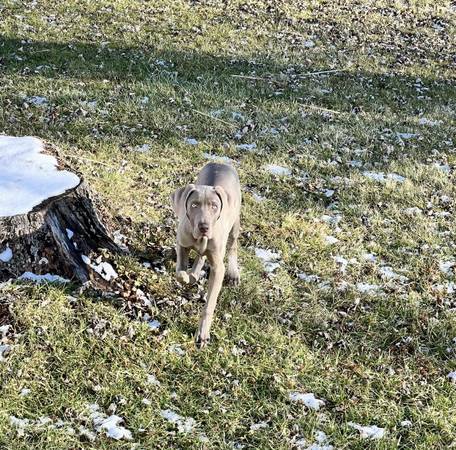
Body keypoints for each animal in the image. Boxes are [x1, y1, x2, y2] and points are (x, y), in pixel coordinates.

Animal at [171, 163, 242, 346]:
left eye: (214, 206)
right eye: (194, 205)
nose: (204, 227)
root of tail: (220, 163)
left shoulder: (218, 268)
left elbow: (210, 304)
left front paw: (202, 334)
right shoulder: (182, 243)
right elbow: (180, 272)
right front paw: (189, 276)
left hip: (235, 222)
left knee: (233, 245)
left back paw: (233, 273)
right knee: (201, 256)